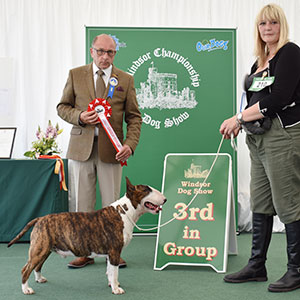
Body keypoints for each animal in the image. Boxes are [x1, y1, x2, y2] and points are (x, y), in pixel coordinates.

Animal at [7, 177, 166, 294]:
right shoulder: (114, 251)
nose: (165, 199)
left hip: (45, 250)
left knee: (37, 266)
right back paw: (26, 289)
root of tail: (40, 218)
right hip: (39, 249)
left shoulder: (111, 254)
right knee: (26, 269)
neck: (125, 212)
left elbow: (110, 271)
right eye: (147, 190)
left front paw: (112, 284)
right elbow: (114, 271)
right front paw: (116, 289)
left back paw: (39, 279)